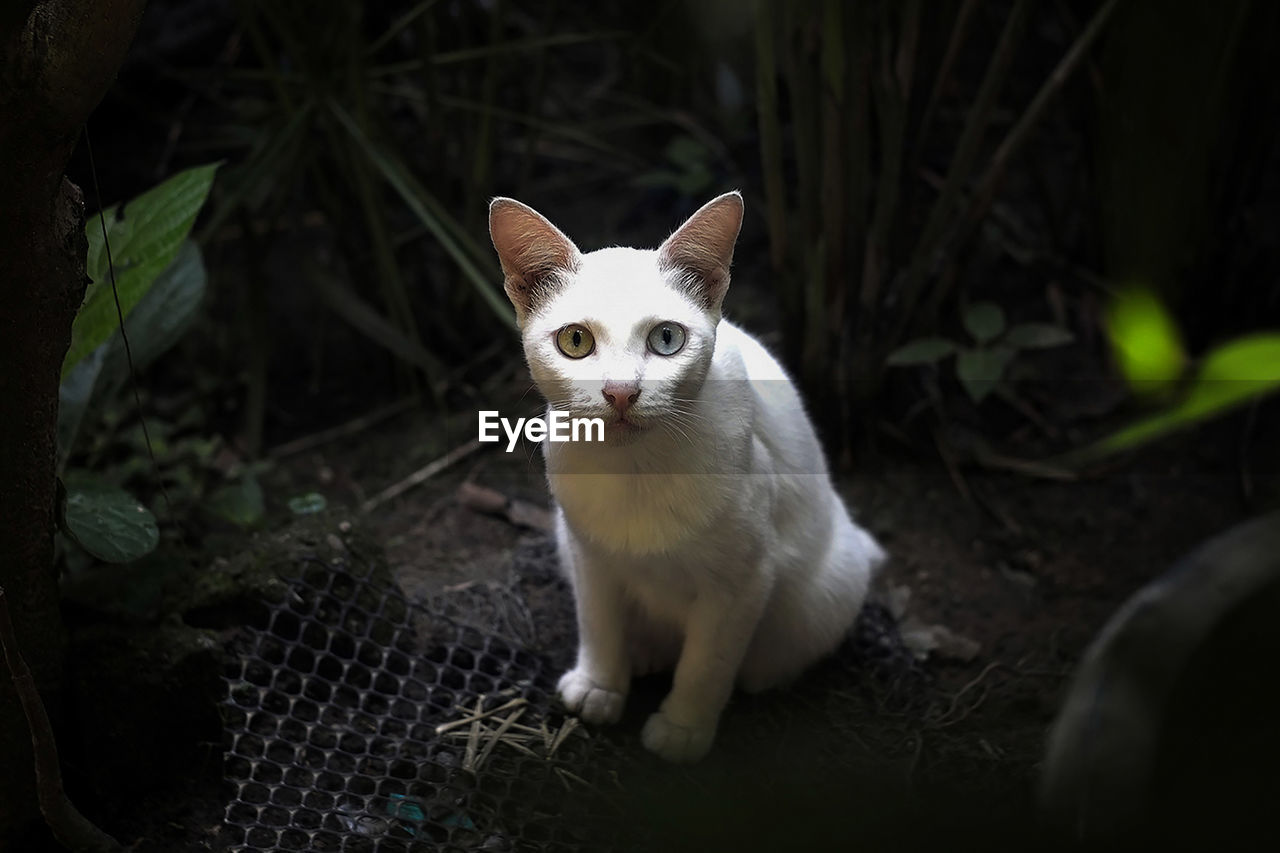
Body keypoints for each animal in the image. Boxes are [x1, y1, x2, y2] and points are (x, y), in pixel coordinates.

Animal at [483, 189, 885, 758]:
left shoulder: (744, 580)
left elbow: (707, 662)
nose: (621, 392)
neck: (634, 471)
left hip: (826, 588)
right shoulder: (588, 555)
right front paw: (601, 686)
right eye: (576, 341)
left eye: (667, 339)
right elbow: (597, 621)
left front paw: (683, 729)